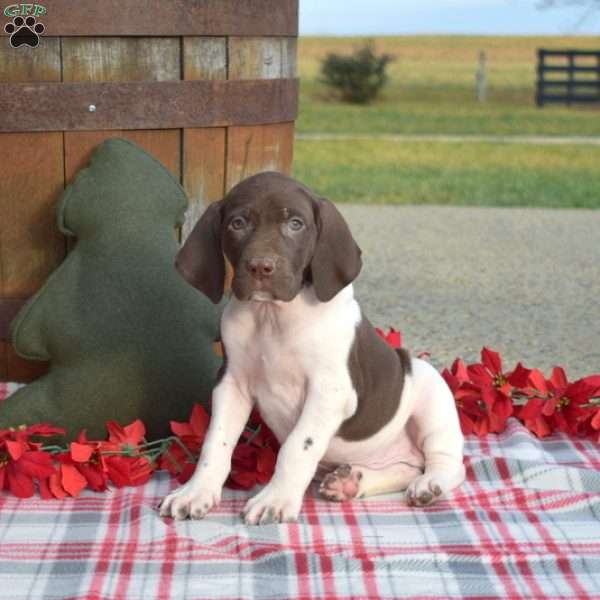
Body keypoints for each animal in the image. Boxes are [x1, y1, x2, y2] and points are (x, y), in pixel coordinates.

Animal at [158, 171, 464, 524]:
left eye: (295, 224)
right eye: (237, 223)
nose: (261, 267)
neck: (273, 317)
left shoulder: (329, 391)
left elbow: (296, 447)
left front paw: (276, 499)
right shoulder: (232, 384)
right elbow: (215, 442)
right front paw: (196, 492)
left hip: (432, 396)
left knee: (446, 462)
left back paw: (429, 484)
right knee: (405, 468)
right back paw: (351, 481)